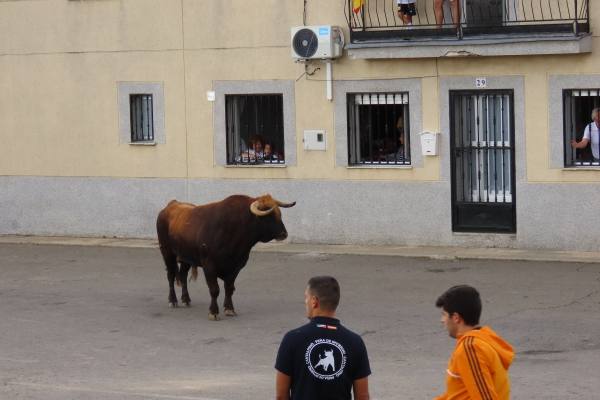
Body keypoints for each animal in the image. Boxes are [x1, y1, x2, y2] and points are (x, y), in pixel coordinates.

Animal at [155, 192, 296, 320]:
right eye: (269, 216)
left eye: (279, 214)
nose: (284, 234)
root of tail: (171, 205)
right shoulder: (209, 266)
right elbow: (214, 290)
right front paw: (213, 312)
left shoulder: (236, 267)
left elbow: (229, 288)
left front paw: (229, 309)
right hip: (167, 252)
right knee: (171, 276)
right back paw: (173, 300)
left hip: (186, 257)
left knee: (183, 275)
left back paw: (186, 299)